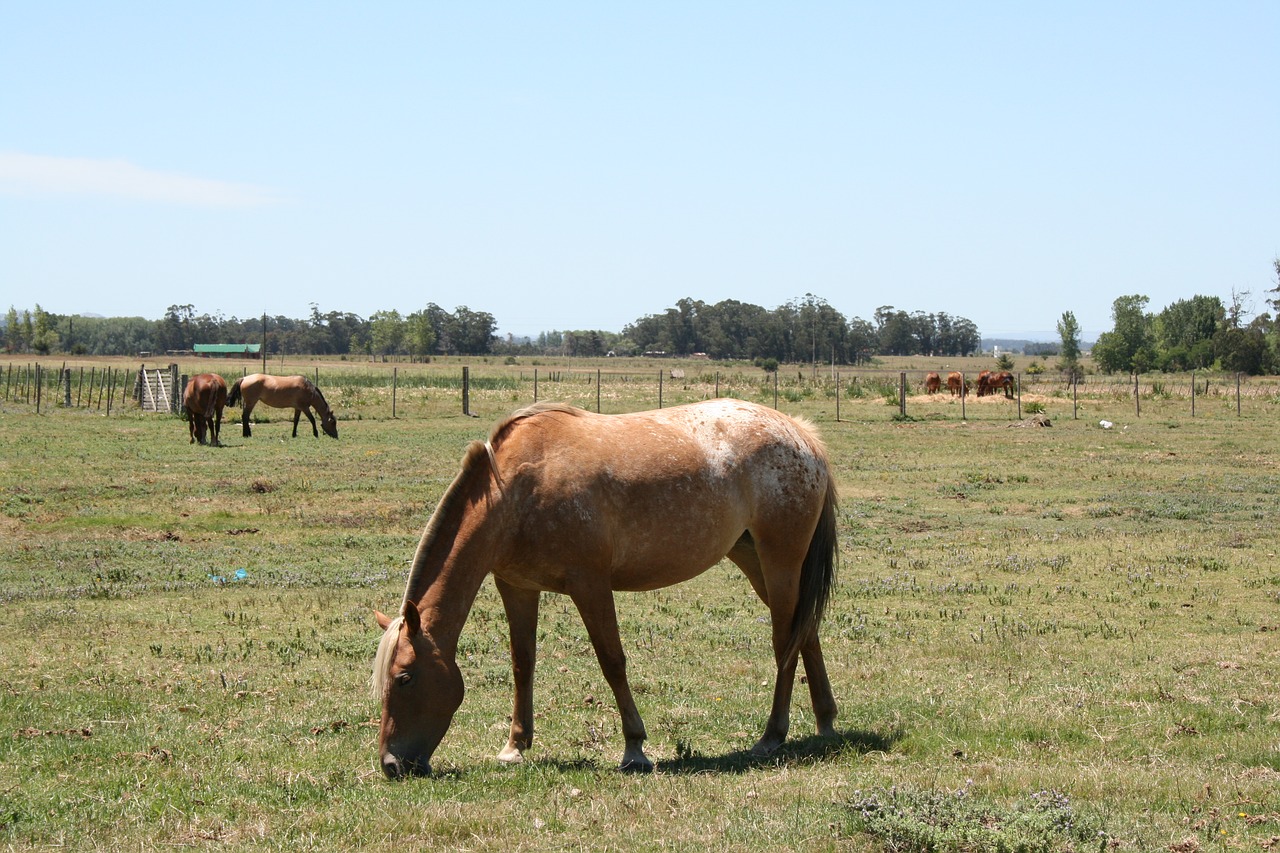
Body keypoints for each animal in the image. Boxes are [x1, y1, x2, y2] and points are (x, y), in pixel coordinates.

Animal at [371, 399, 839, 778]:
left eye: (405, 678)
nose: (392, 765)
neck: (517, 491)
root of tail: (801, 434)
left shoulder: (590, 584)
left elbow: (611, 661)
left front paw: (635, 748)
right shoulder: (516, 586)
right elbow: (523, 663)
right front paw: (515, 746)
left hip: (780, 561)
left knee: (785, 642)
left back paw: (772, 736)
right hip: (753, 558)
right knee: (807, 632)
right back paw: (826, 721)